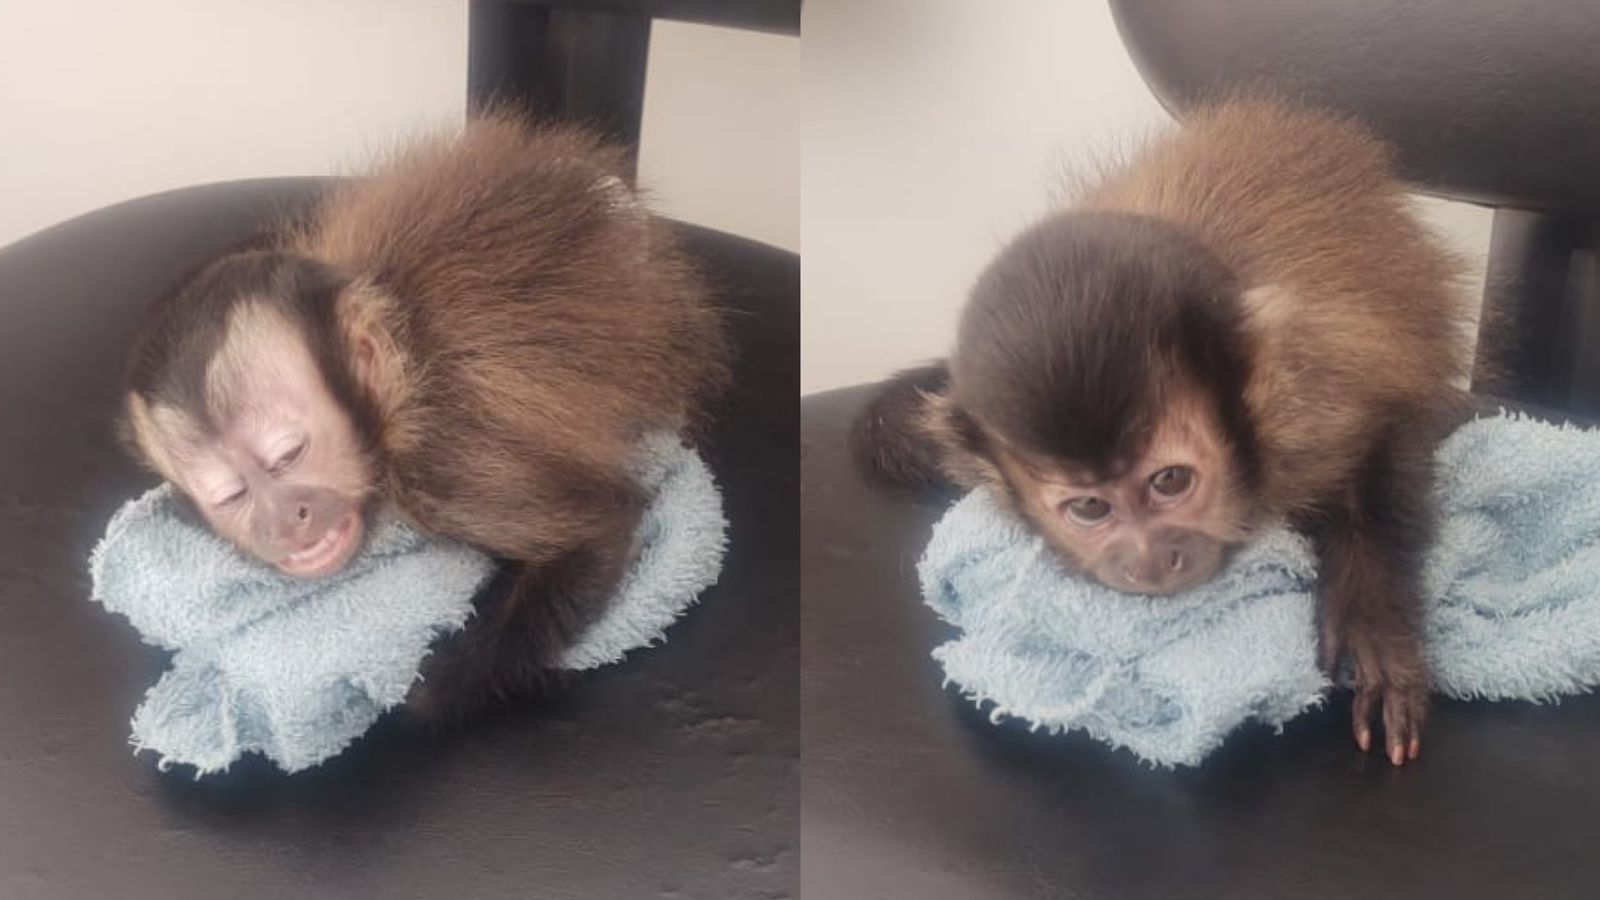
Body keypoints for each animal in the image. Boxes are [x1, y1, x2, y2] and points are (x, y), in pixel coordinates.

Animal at [118, 112, 730, 722]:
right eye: (231, 495)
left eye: (288, 455)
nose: (283, 519)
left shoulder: (445, 466)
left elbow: (598, 529)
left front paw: (426, 691)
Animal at [853, 97, 1476, 766]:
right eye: (1090, 508)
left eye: (1171, 481)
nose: (1153, 560)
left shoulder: (1317, 399)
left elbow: (1390, 426)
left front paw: (1373, 620)